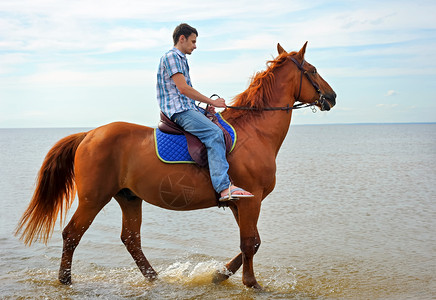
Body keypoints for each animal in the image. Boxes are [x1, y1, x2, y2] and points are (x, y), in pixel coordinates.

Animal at [15, 42, 336, 288]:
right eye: (312, 70)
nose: (332, 97)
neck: (255, 131)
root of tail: (89, 134)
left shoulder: (239, 202)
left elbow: (252, 242)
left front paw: (220, 275)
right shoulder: (250, 199)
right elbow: (249, 243)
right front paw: (251, 283)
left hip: (129, 197)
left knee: (131, 239)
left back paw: (154, 278)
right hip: (94, 198)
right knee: (72, 234)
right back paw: (65, 279)